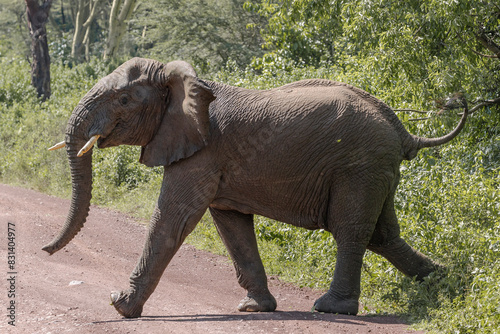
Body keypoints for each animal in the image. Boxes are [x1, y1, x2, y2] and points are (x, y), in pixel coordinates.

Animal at [44, 56, 468, 318]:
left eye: (123, 99)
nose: (45, 249)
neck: (179, 80)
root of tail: (401, 127)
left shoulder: (202, 152)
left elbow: (173, 220)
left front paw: (120, 306)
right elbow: (230, 225)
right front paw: (254, 308)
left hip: (359, 167)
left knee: (351, 230)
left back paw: (331, 308)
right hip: (378, 168)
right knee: (384, 235)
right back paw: (452, 284)